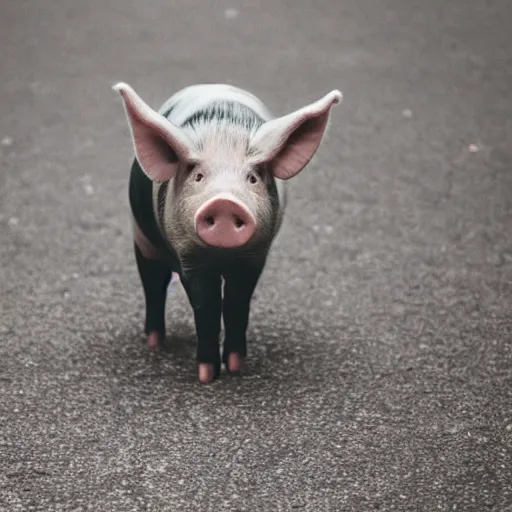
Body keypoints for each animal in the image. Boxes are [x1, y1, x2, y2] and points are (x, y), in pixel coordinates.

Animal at [114, 82, 342, 382]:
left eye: (252, 178)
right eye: (198, 177)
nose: (225, 202)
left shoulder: (255, 255)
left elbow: (237, 302)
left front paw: (235, 366)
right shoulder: (190, 257)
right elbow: (206, 305)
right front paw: (206, 376)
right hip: (142, 238)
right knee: (153, 283)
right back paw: (154, 344)